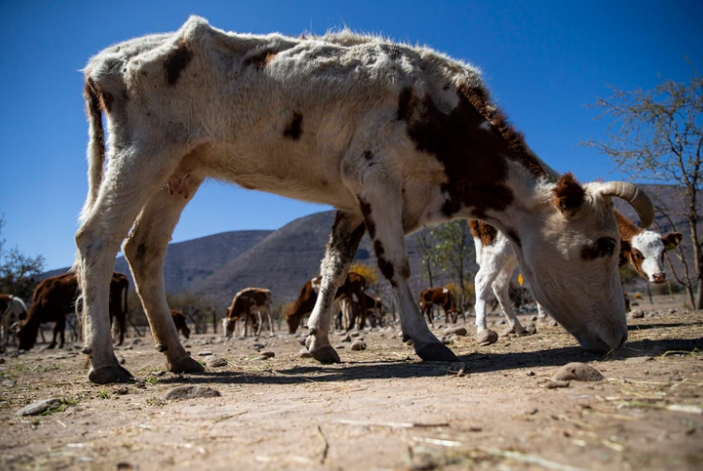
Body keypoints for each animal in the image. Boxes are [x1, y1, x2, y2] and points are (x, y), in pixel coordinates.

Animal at [71, 17, 656, 384]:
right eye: (604, 246)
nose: (617, 338)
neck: (438, 115)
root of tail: (107, 59)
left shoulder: (352, 201)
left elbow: (332, 270)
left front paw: (319, 344)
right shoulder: (375, 178)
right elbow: (395, 264)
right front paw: (426, 341)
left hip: (180, 169)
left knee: (144, 249)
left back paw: (179, 356)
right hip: (143, 154)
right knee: (97, 237)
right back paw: (105, 361)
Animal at [472, 212, 680, 344]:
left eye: (663, 252)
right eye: (638, 254)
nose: (659, 276)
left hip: (508, 257)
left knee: (499, 285)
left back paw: (518, 328)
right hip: (499, 251)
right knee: (482, 280)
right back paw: (482, 329)